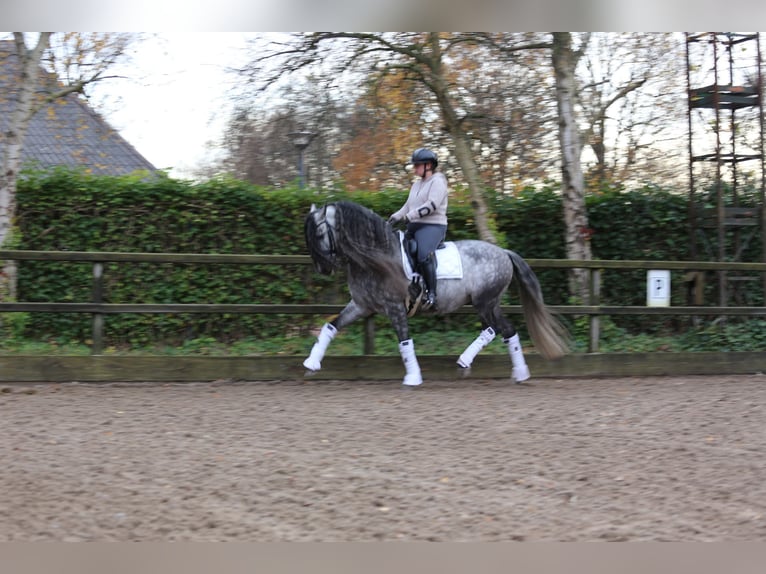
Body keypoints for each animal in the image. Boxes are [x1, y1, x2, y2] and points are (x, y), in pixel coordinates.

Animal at [304, 202, 568, 388]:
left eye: (320, 233)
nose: (322, 268)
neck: (376, 256)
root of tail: (503, 252)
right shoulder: (361, 305)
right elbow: (331, 326)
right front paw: (311, 363)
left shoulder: (394, 306)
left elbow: (404, 341)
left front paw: (413, 377)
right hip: (489, 303)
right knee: (504, 330)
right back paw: (513, 372)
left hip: (484, 302)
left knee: (496, 329)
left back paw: (473, 362)